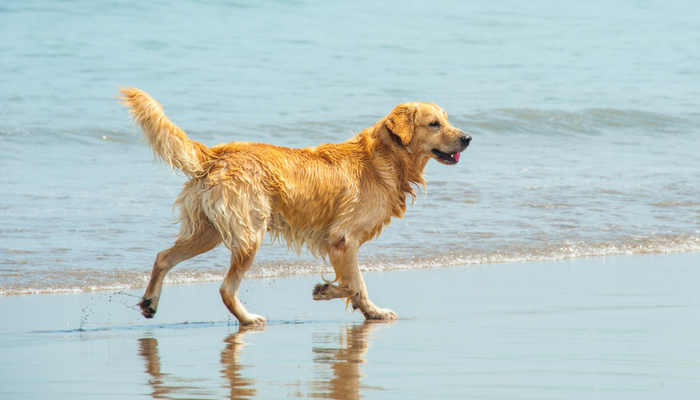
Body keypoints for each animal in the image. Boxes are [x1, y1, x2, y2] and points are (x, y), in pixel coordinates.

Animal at [119, 88, 470, 324]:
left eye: (446, 120)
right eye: (434, 124)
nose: (467, 138)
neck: (384, 159)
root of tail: (218, 153)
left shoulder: (343, 242)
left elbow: (354, 284)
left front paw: (366, 310)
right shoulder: (342, 239)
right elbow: (355, 284)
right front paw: (334, 293)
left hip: (210, 232)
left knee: (164, 256)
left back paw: (150, 301)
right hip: (249, 233)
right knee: (226, 288)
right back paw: (248, 319)